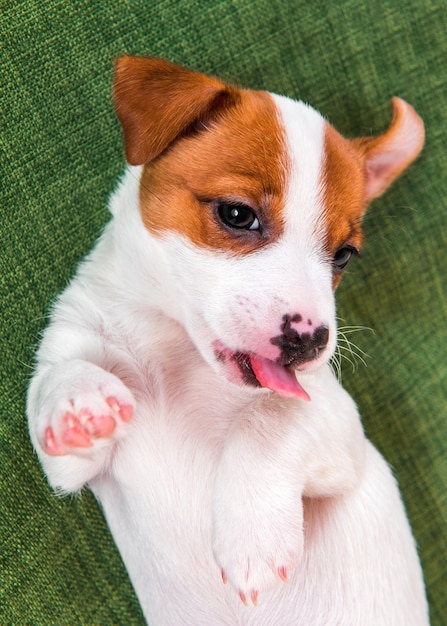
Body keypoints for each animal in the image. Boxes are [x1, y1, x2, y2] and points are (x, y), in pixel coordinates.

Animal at [28, 56, 430, 620]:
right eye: (237, 214)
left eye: (344, 255)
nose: (310, 340)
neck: (171, 345)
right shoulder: (70, 466)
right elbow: (55, 379)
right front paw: (77, 401)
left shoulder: (340, 431)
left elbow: (270, 415)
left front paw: (253, 538)